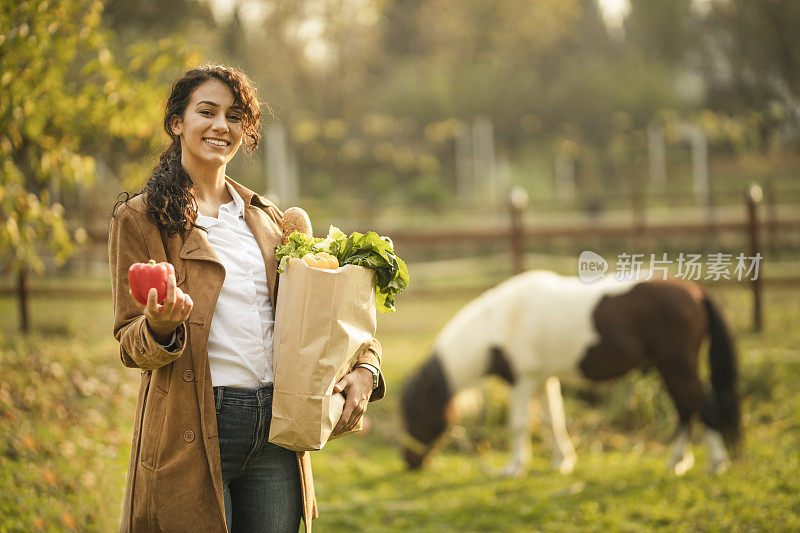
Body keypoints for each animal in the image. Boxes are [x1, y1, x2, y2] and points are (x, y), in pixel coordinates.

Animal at [400, 270, 744, 474]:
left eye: (416, 413)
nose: (410, 461)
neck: (499, 325)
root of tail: (696, 293)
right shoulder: (544, 379)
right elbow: (553, 421)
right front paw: (562, 461)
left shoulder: (523, 381)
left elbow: (519, 425)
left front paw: (514, 468)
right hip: (668, 368)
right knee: (686, 409)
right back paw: (678, 461)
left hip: (677, 366)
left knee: (703, 407)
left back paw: (716, 463)